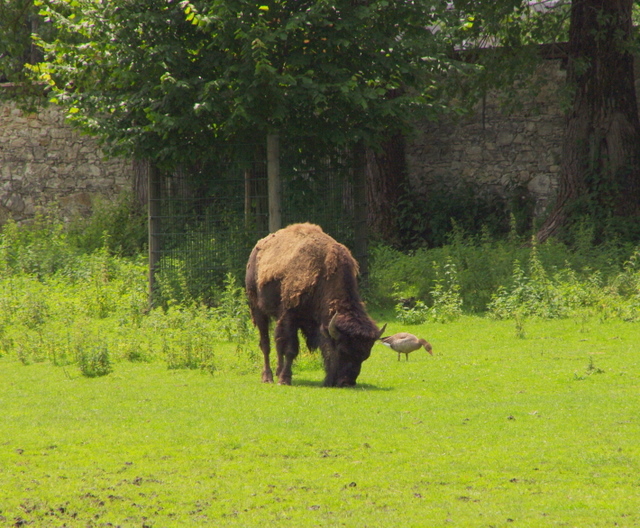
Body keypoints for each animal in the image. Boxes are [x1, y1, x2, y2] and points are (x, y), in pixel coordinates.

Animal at [245, 223, 384, 388]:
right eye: (341, 350)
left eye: (365, 355)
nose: (347, 382)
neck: (324, 277)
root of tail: (257, 248)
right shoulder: (289, 316)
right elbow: (291, 349)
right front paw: (285, 379)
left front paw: (283, 376)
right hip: (258, 309)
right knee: (265, 344)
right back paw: (268, 377)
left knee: (277, 344)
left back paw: (277, 372)